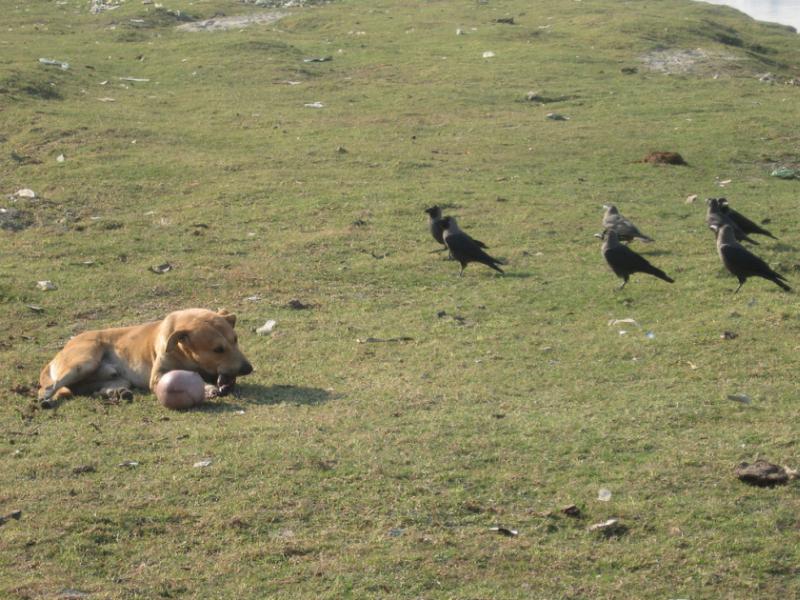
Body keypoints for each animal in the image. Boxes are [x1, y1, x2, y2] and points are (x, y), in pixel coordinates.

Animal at [37, 310, 253, 408]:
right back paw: (45, 400)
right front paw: (208, 388)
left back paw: (119, 393)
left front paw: (221, 384)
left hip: (114, 377)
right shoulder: (157, 378)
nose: (248, 368)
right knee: (48, 388)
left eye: (236, 339)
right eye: (218, 349)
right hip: (84, 362)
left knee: (97, 390)